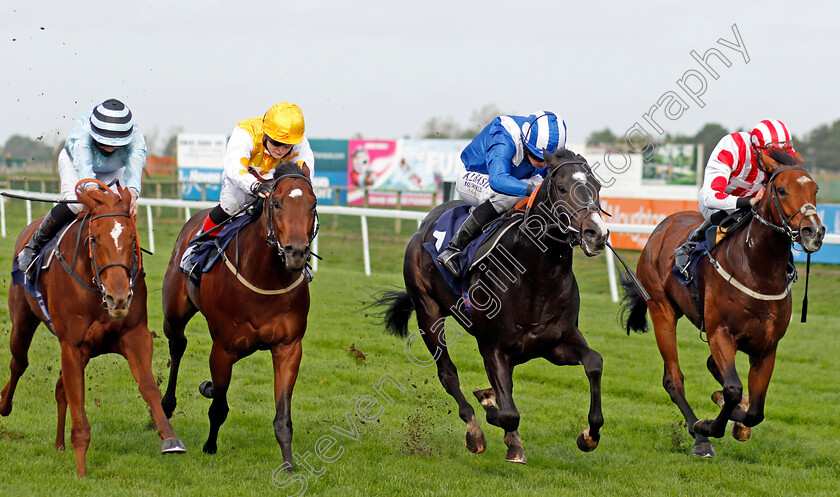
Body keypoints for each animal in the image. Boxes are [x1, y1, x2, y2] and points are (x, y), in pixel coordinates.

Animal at [160, 161, 316, 470]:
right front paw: (209, 446)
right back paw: (166, 406)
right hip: (174, 313)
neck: (266, 277)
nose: (296, 252)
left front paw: (289, 465)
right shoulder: (223, 348)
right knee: (178, 344)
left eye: (313, 204)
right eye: (276, 203)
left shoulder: (288, 347)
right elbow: (219, 407)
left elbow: (283, 417)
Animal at [378, 149, 608, 464]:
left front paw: (589, 435)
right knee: (448, 374)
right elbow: (508, 413)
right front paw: (489, 409)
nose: (596, 233)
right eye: (561, 188)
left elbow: (594, 363)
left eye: (597, 186)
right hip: (428, 313)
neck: (534, 279)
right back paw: (474, 431)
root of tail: (425, 224)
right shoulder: (492, 347)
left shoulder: (555, 343)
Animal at [620, 148, 824, 458]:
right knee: (673, 379)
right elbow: (733, 391)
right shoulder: (720, 334)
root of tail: (663, 226)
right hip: (661, 310)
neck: (758, 270)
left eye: (815, 189)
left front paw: (737, 421)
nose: (814, 231)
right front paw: (707, 425)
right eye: (781, 190)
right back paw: (699, 438)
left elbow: (755, 410)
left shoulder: (766, 347)